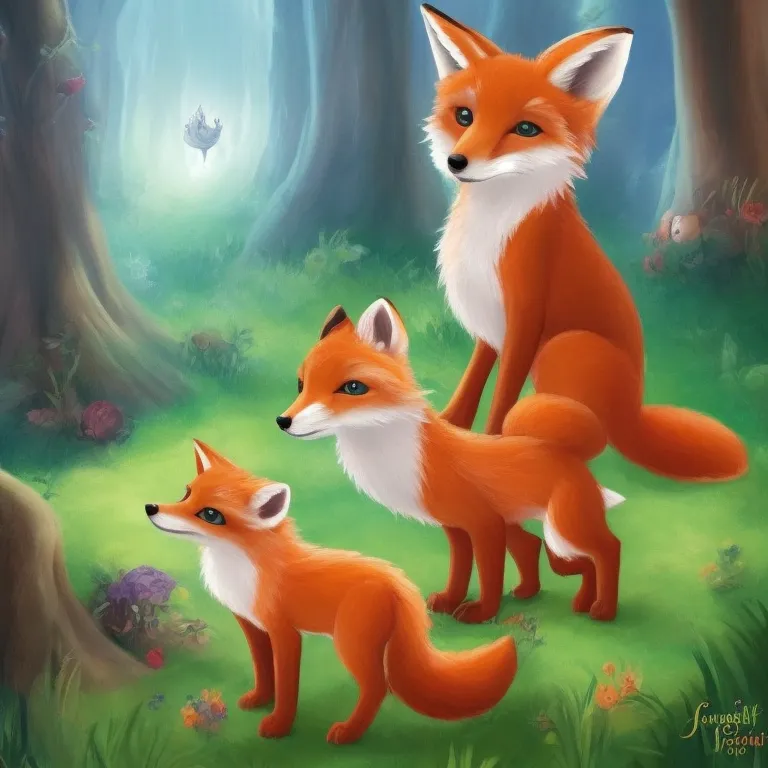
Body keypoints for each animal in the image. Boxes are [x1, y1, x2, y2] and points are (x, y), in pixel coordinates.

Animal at [144, 440, 517, 745]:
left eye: (210, 514)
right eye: (186, 493)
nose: (150, 508)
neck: (243, 568)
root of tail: (398, 580)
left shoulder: (285, 634)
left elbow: (287, 686)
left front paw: (279, 725)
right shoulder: (253, 626)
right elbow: (263, 671)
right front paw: (260, 699)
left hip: (350, 644)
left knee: (377, 687)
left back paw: (349, 733)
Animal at [277, 297, 626, 625]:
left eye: (352, 387)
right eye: (300, 385)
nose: (283, 421)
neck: (407, 456)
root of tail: (564, 448)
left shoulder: (485, 525)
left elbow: (489, 576)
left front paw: (482, 613)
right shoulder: (457, 528)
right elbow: (459, 571)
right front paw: (450, 601)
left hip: (565, 531)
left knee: (608, 549)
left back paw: (603, 610)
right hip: (546, 535)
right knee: (537, 546)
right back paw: (547, 596)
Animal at [419, 4, 748, 482]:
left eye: (525, 128)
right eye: (464, 117)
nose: (456, 161)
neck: (490, 226)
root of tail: (633, 411)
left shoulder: (525, 317)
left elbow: (502, 395)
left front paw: (493, 447)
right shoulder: (489, 322)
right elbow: (473, 380)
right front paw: (450, 426)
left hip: (564, 347)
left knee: (595, 440)